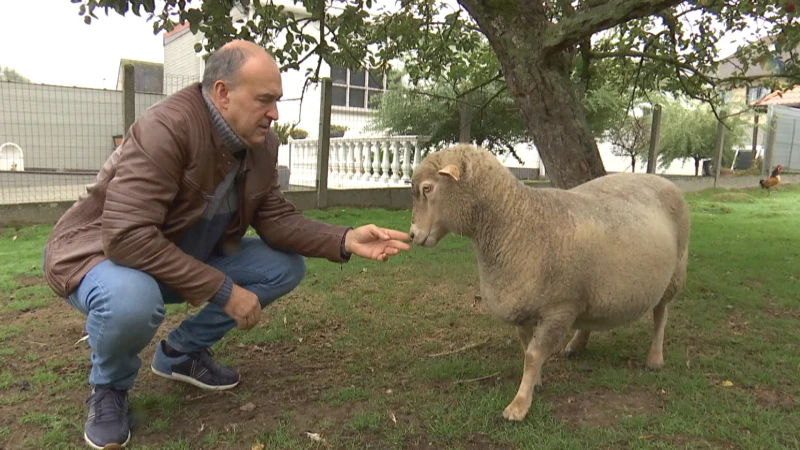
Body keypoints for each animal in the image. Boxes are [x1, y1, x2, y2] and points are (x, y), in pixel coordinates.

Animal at [410, 143, 692, 422]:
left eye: (427, 188)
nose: (412, 235)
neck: (516, 222)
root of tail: (659, 178)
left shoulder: (559, 309)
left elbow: (533, 354)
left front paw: (519, 405)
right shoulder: (524, 307)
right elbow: (526, 348)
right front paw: (535, 383)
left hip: (674, 274)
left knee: (661, 315)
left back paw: (655, 358)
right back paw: (577, 344)